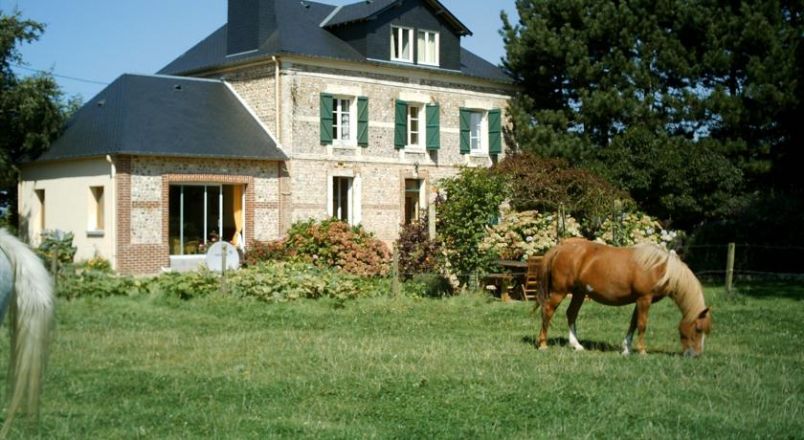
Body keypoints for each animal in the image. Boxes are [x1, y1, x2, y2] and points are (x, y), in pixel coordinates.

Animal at [536, 237, 712, 358]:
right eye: (698, 329)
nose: (695, 354)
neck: (660, 269)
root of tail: (561, 247)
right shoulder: (644, 299)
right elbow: (642, 325)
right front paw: (642, 351)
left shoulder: (639, 300)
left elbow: (633, 324)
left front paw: (626, 349)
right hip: (560, 291)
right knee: (548, 310)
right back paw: (543, 344)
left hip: (579, 292)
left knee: (571, 313)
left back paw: (576, 345)